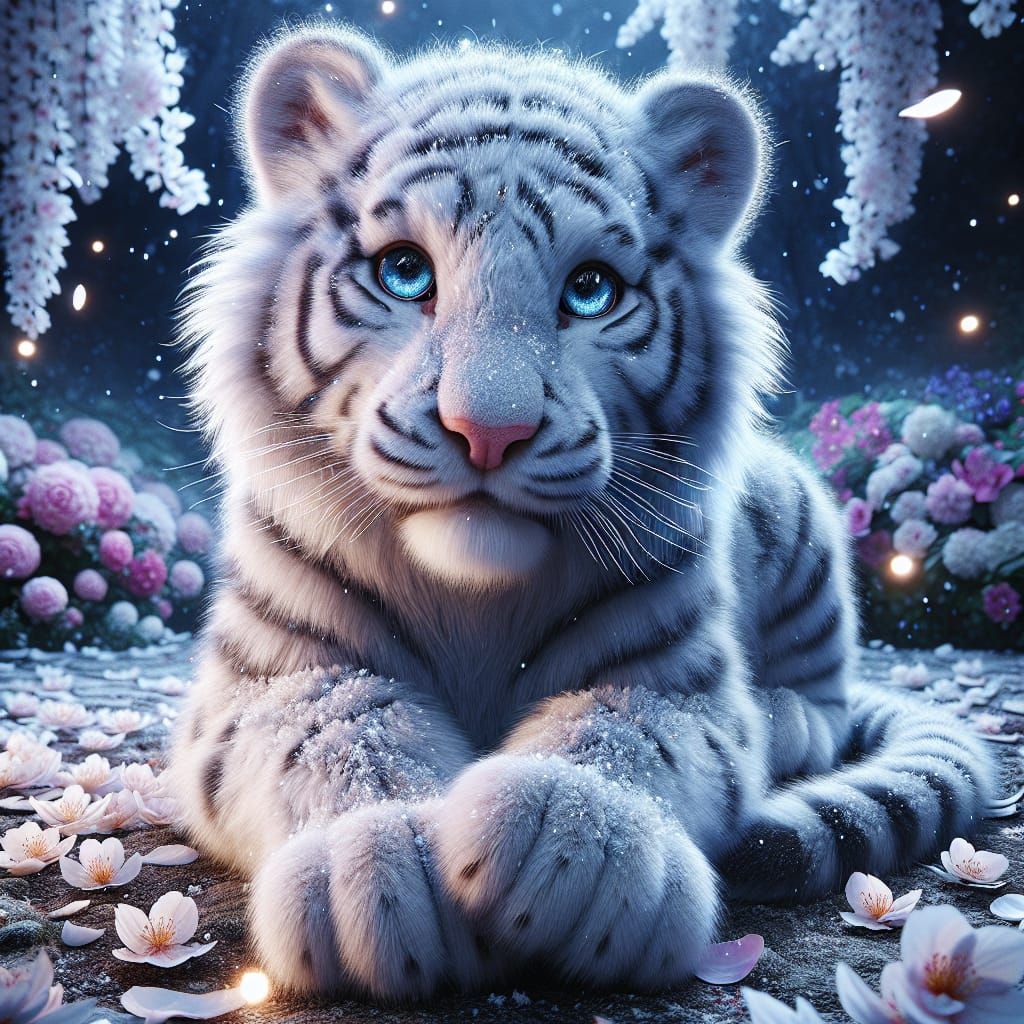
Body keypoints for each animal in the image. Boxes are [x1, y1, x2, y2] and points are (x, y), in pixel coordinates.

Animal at [169, 23, 995, 1002]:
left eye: (591, 289)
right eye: (404, 271)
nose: (490, 431)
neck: (472, 595)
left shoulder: (669, 677)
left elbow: (623, 731)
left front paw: (574, 845)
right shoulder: (275, 677)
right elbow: (344, 728)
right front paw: (382, 870)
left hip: (795, 514)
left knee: (823, 694)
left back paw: (783, 718)